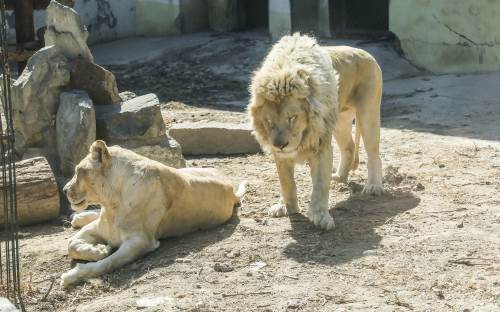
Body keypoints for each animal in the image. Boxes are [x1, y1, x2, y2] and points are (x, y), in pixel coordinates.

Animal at [249, 33, 382, 230]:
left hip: (368, 114)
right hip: (340, 121)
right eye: (268, 121)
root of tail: (365, 52)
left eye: (292, 117)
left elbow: (320, 184)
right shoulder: (280, 155)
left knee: (374, 153)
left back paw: (373, 187)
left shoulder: (321, 145)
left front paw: (320, 216)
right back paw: (339, 178)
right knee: (349, 147)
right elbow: (286, 181)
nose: (280, 145)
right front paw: (286, 207)